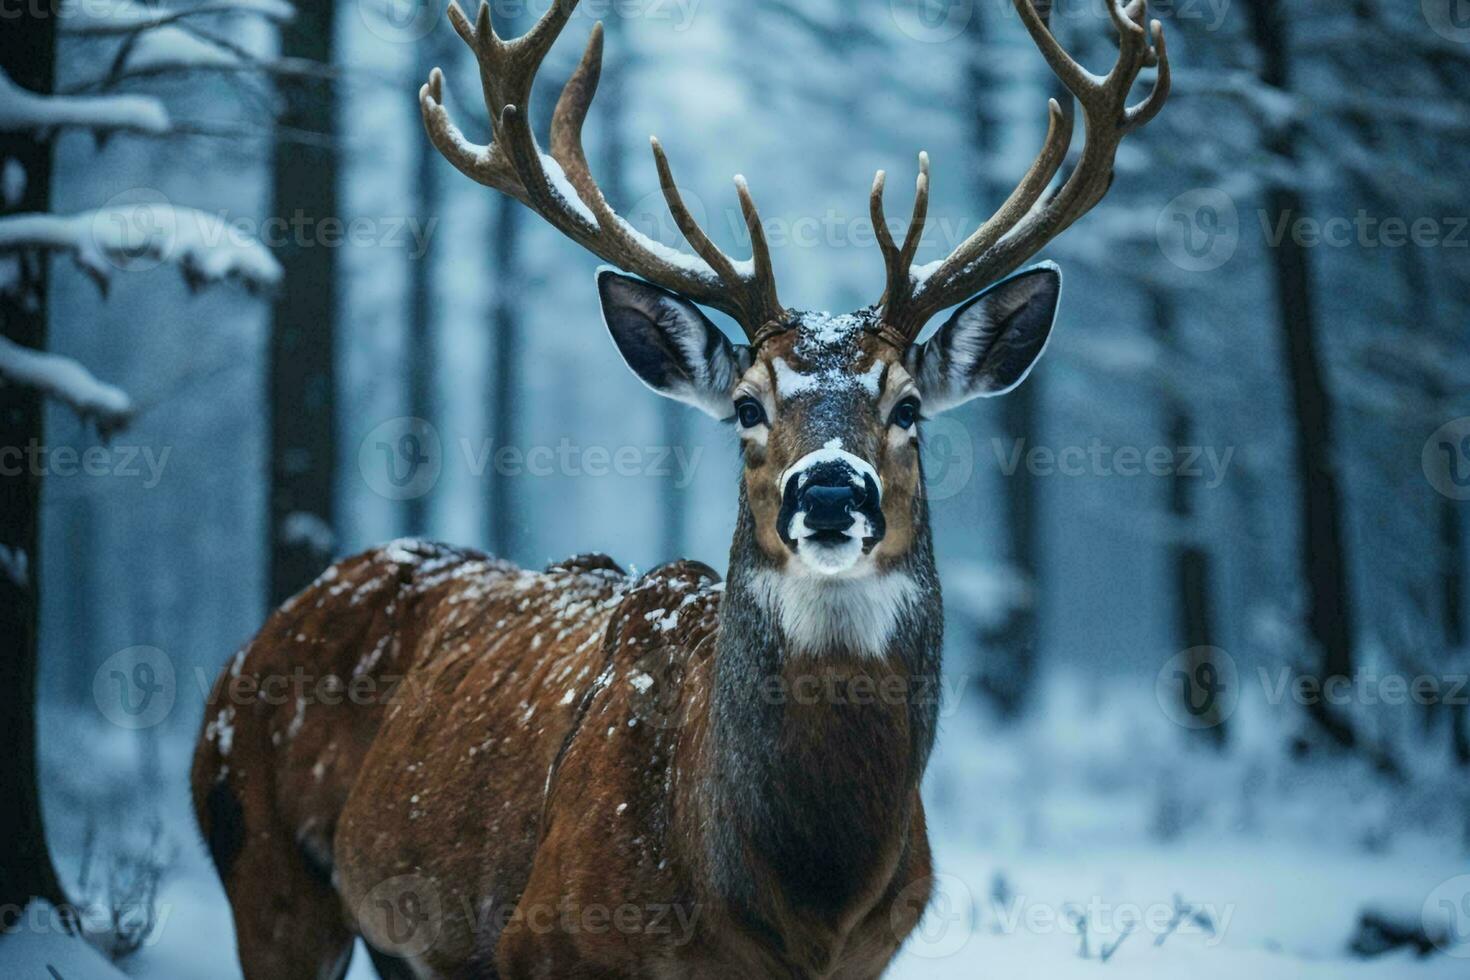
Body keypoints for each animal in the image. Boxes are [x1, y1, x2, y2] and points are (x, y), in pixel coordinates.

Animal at [189, 3, 1164, 975]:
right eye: (746, 406)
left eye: (909, 406)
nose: (830, 495)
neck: (800, 900)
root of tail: (248, 650)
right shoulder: (540, 940)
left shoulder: (873, 953)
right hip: (258, 858)